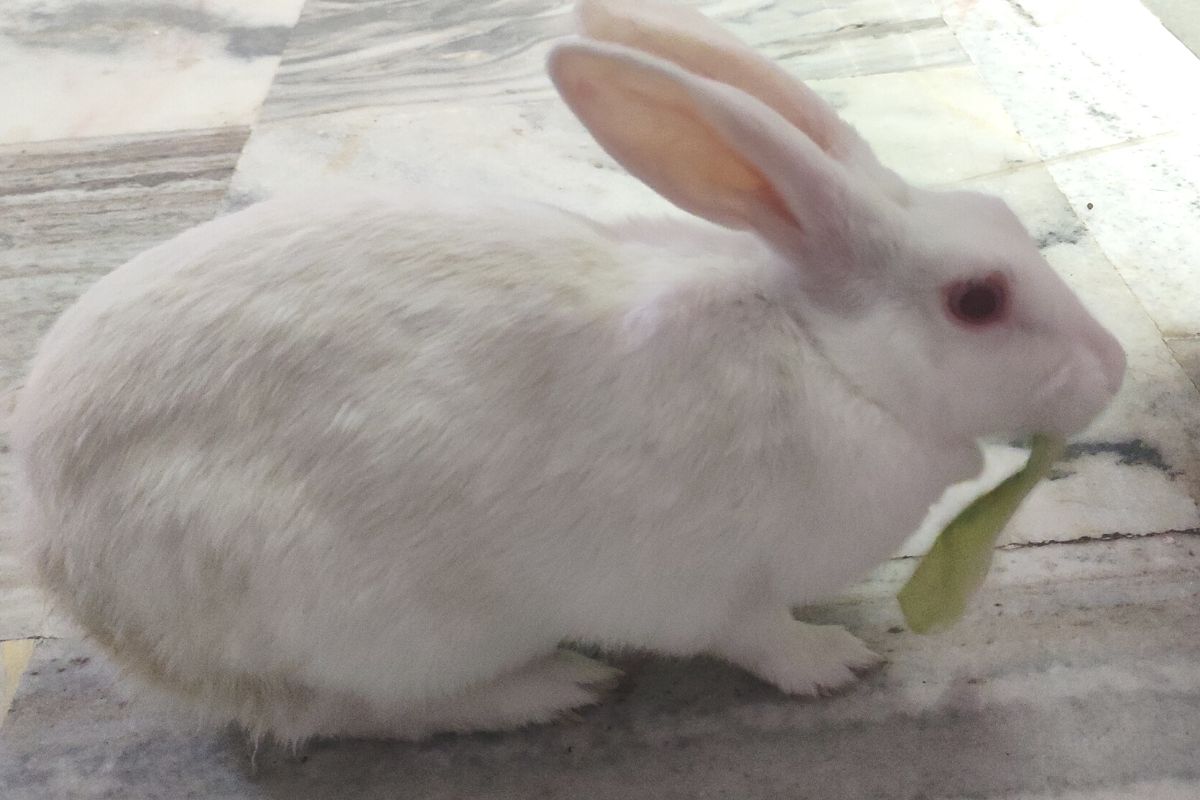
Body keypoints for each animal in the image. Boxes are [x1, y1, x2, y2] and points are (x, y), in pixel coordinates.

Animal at [11, 0, 1125, 743]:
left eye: (1005, 217)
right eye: (976, 300)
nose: (1112, 367)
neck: (828, 357)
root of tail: (74, 576)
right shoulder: (711, 587)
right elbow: (756, 635)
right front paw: (836, 660)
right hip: (371, 618)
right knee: (357, 711)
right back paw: (556, 685)